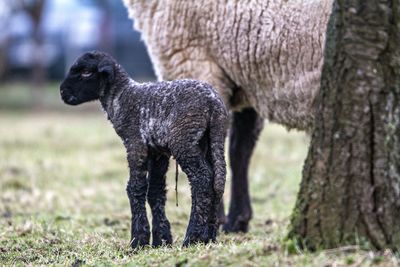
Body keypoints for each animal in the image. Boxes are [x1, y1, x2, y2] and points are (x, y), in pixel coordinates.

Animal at [59, 51, 228, 248]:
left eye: (86, 72)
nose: (62, 92)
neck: (121, 97)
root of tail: (213, 102)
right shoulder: (157, 152)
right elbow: (155, 191)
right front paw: (161, 239)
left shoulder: (135, 143)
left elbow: (136, 187)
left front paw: (138, 240)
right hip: (211, 139)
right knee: (217, 179)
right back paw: (209, 236)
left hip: (184, 139)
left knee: (201, 179)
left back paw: (191, 237)